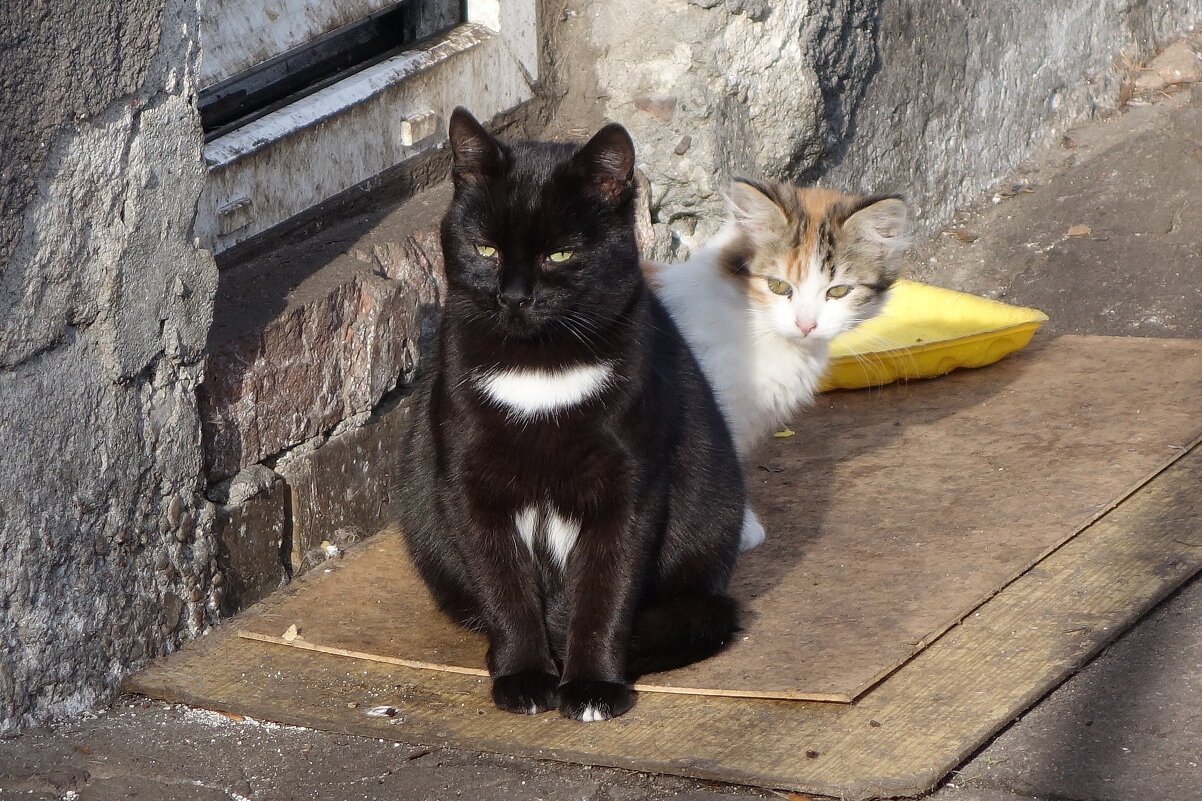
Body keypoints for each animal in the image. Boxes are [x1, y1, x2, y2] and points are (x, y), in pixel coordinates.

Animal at [399, 109, 745, 721]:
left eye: (558, 254)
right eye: (485, 249)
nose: (513, 296)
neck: (541, 371)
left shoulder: (629, 490)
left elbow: (604, 594)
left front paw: (592, 688)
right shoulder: (469, 487)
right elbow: (504, 589)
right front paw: (523, 677)